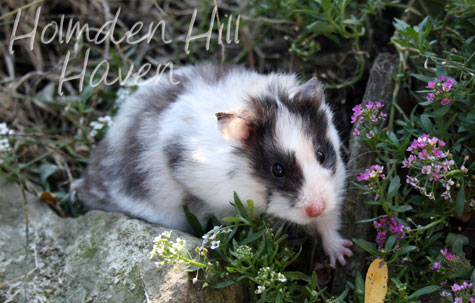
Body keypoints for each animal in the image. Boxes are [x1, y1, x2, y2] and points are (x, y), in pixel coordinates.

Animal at [73, 64, 354, 266]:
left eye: (321, 155)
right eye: (278, 169)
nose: (317, 207)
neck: (249, 180)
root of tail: (88, 178)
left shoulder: (336, 185)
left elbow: (329, 222)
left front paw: (342, 255)